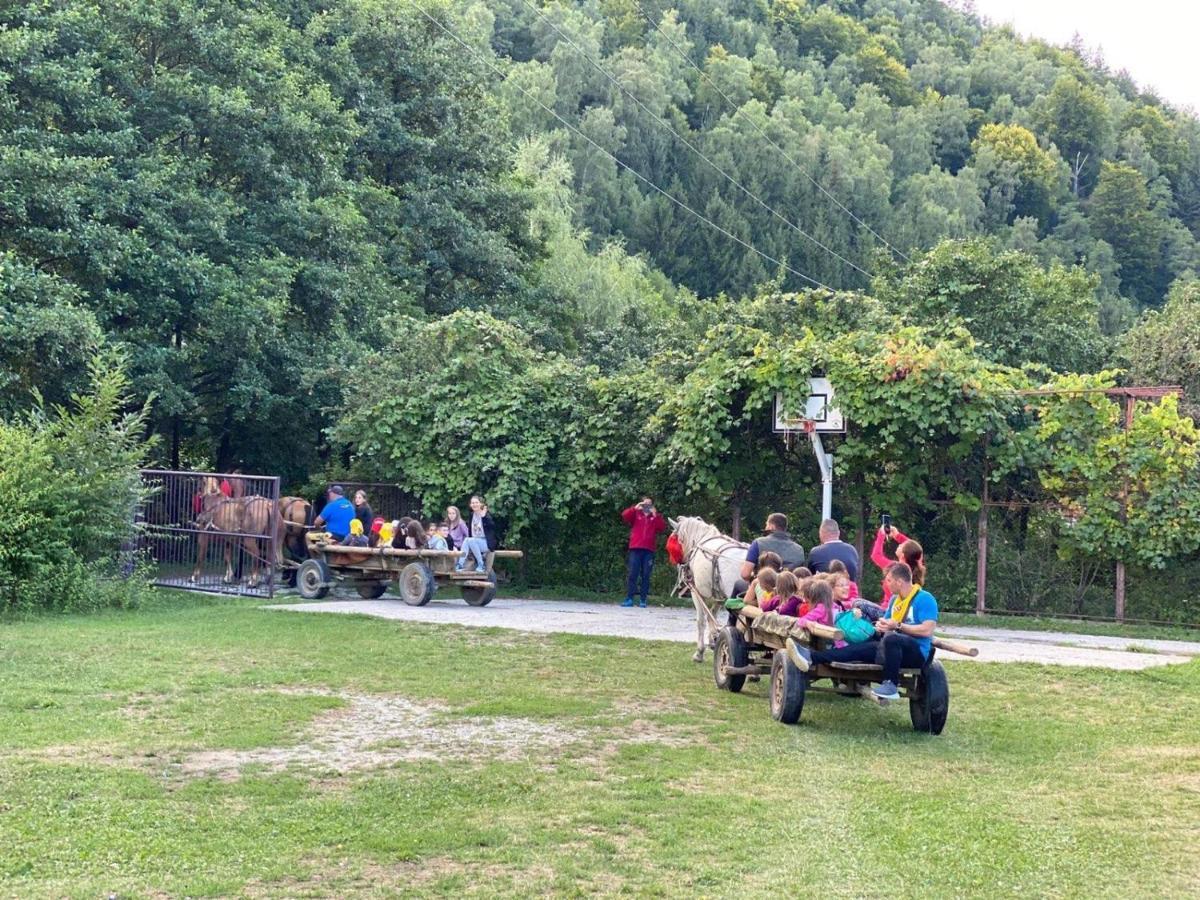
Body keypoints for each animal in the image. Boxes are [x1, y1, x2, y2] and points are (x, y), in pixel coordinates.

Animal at [672, 518, 744, 667]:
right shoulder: (719, 597)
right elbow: (713, 615)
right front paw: (714, 640)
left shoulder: (697, 593)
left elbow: (701, 620)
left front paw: (699, 653)